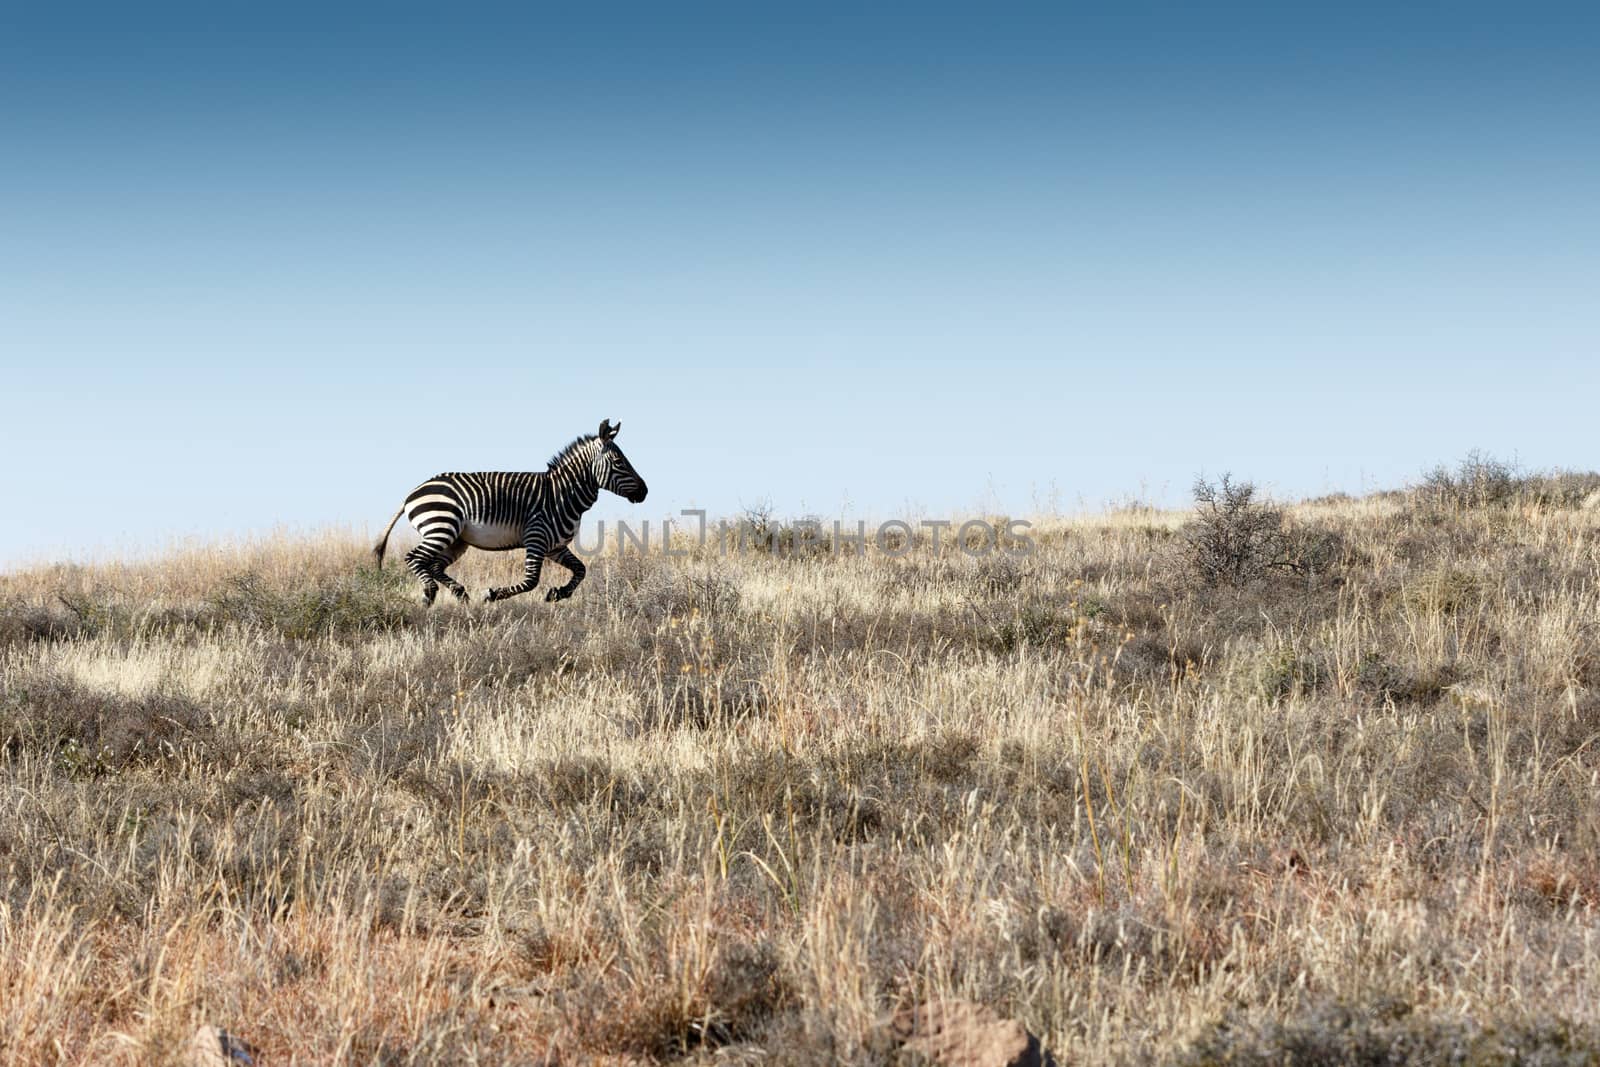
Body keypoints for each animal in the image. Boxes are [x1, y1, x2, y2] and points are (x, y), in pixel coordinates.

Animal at [371, 415, 646, 601]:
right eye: (619, 462)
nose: (644, 492)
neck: (562, 494)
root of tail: (412, 493)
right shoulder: (536, 538)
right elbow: (531, 581)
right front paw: (491, 594)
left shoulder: (555, 547)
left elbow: (581, 570)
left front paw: (558, 593)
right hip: (441, 528)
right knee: (414, 558)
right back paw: (429, 593)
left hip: (457, 540)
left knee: (435, 565)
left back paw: (460, 595)